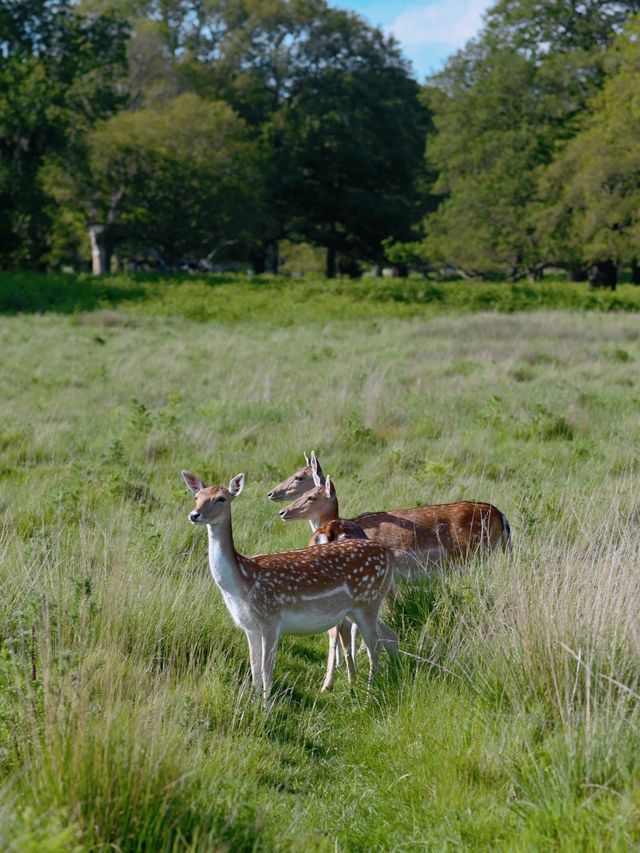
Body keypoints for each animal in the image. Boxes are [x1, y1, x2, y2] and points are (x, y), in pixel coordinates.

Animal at [181, 470, 400, 704]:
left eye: (221, 498)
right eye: (197, 497)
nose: (194, 515)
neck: (241, 582)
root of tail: (389, 554)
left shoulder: (271, 619)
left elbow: (267, 671)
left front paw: (266, 708)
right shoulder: (249, 626)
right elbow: (254, 669)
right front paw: (253, 704)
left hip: (368, 601)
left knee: (374, 649)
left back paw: (369, 698)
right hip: (359, 608)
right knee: (390, 637)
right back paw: (395, 679)